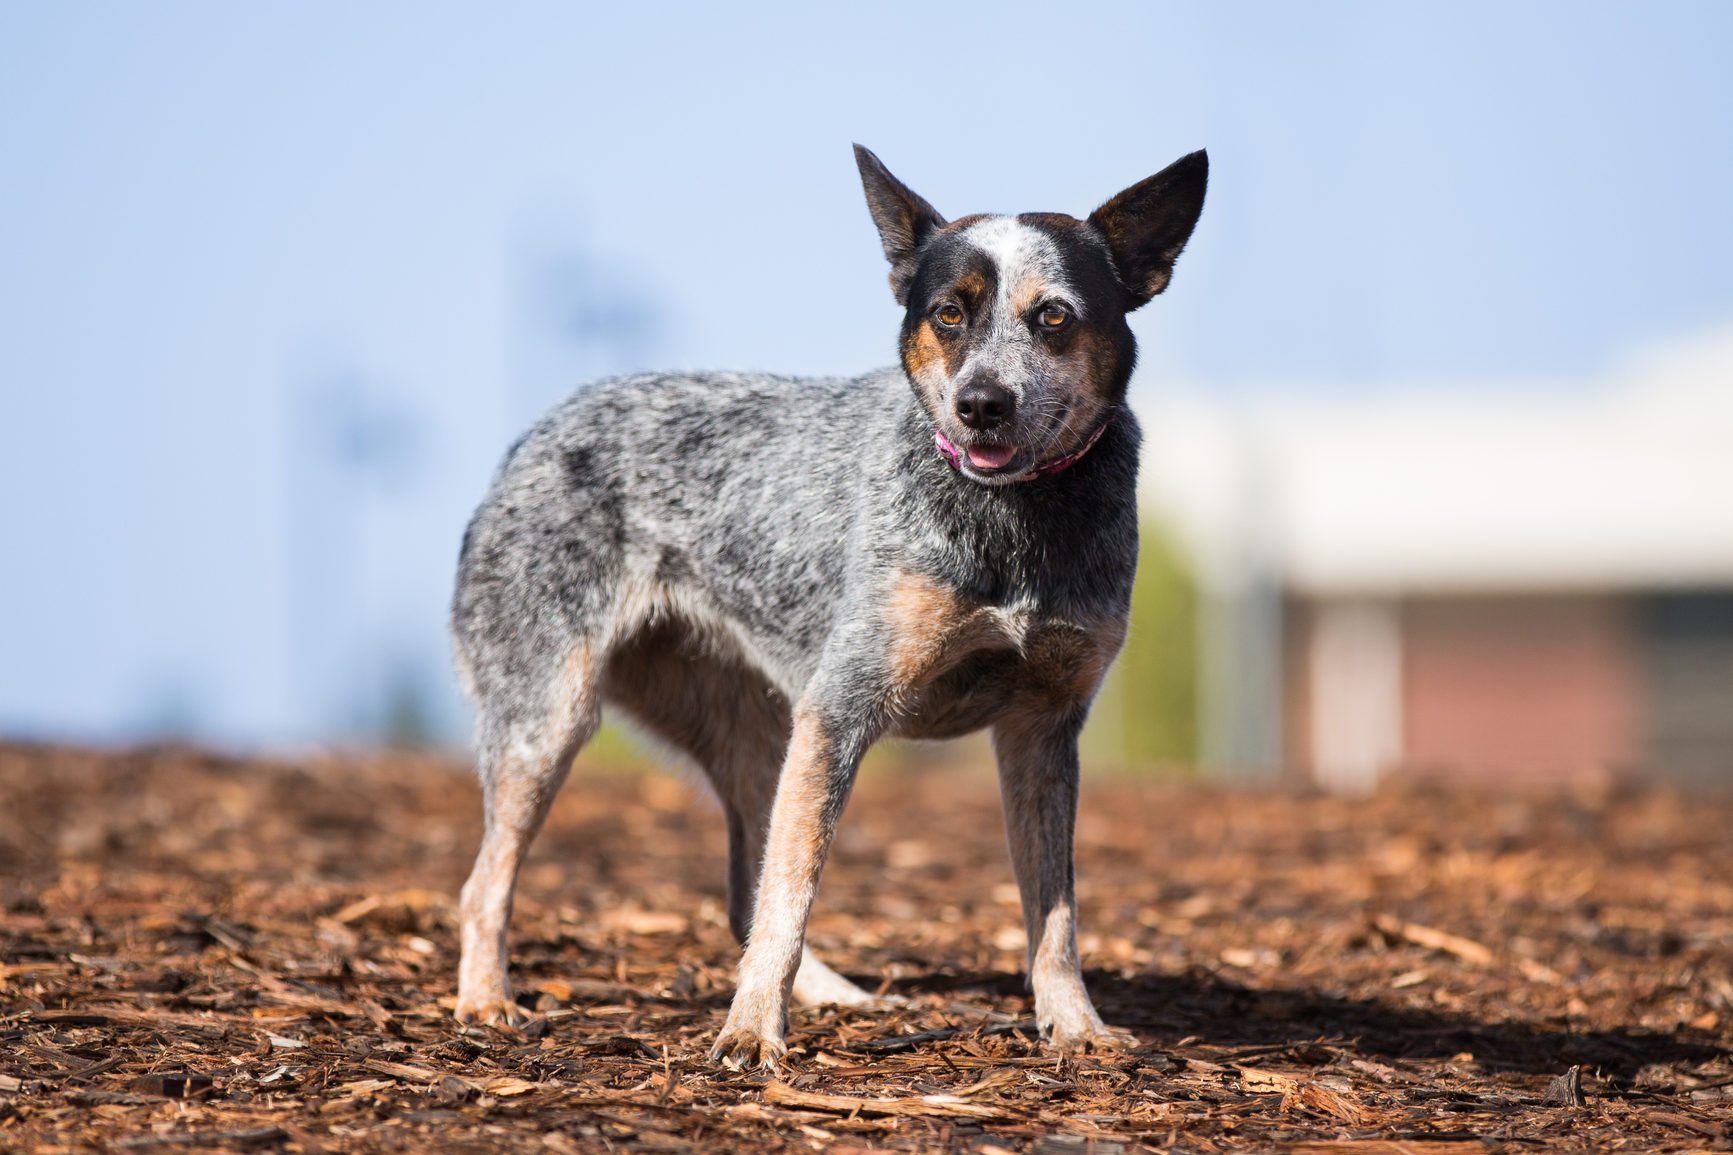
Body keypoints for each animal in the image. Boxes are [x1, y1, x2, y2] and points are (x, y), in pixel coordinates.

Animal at [454, 146, 1213, 1068]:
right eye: (949, 313)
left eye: (1054, 316)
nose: (981, 404)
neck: (1014, 520)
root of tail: (534, 436)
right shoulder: (843, 706)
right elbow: (794, 893)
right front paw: (750, 1032)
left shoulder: (1042, 728)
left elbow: (1054, 915)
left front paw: (1074, 1026)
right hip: (552, 719)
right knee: (488, 883)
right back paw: (485, 1001)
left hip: (760, 733)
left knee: (745, 888)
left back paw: (838, 995)